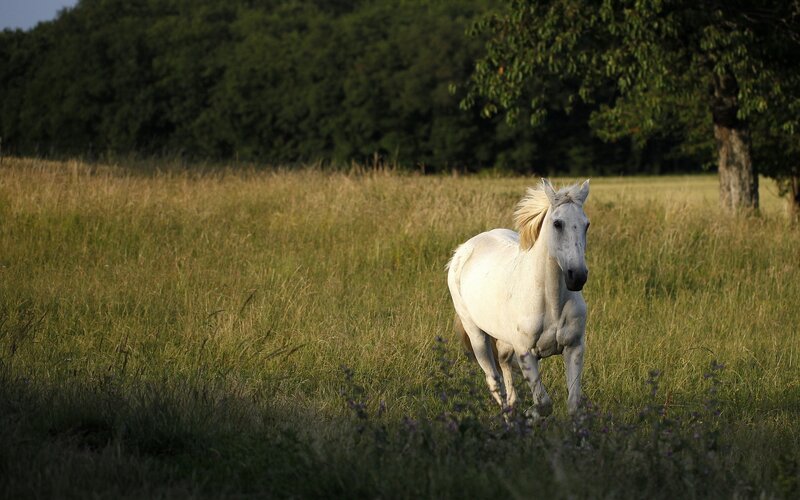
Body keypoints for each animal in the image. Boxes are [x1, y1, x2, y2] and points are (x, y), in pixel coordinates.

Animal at [446, 179, 590, 418]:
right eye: (557, 223)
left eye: (586, 224)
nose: (577, 276)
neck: (551, 302)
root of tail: (462, 251)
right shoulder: (525, 351)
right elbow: (544, 403)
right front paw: (530, 416)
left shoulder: (574, 347)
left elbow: (573, 404)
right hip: (477, 336)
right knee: (494, 381)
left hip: (504, 341)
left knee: (505, 369)